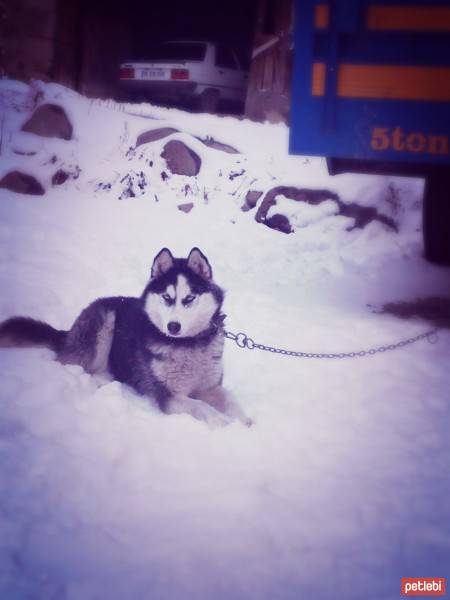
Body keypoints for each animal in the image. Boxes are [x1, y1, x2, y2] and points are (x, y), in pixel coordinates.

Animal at [0, 248, 250, 426]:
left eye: (189, 298)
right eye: (167, 297)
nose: (173, 326)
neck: (188, 344)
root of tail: (69, 332)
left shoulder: (210, 387)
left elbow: (232, 402)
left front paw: (247, 423)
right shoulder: (168, 395)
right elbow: (202, 407)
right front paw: (224, 423)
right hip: (103, 322)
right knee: (72, 364)